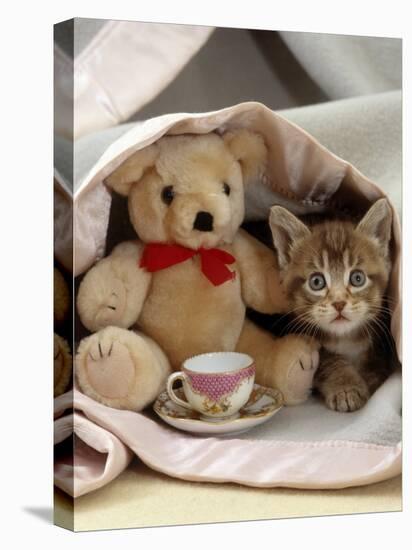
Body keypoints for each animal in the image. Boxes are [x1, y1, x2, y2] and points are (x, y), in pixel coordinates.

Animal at [268, 199, 394, 414]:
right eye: (316, 282)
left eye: (357, 278)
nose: (339, 303)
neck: (346, 339)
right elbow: (327, 360)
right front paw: (346, 387)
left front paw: (372, 376)